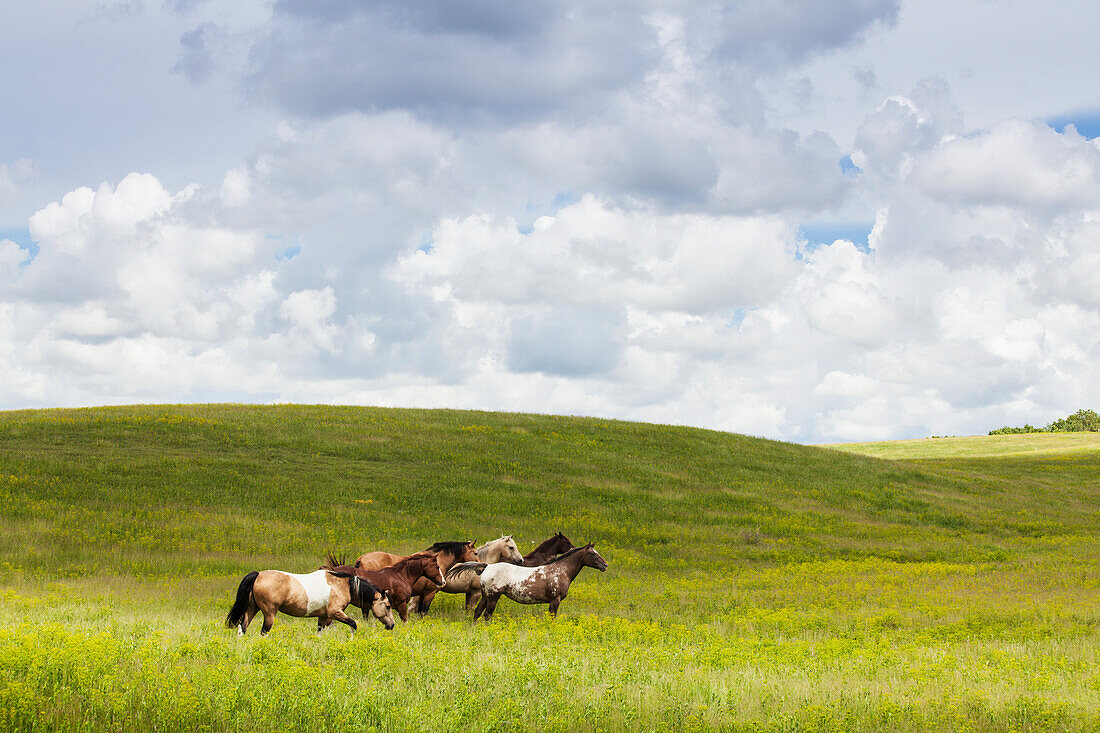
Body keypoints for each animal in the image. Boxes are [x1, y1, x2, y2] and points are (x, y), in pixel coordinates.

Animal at [223, 563, 396, 633]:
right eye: (388, 606)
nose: (392, 625)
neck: (342, 585)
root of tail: (258, 575)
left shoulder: (323, 616)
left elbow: (319, 632)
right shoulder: (335, 613)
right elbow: (353, 624)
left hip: (252, 609)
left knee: (242, 627)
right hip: (269, 613)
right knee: (263, 631)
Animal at [473, 539, 611, 620]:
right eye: (592, 554)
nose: (605, 565)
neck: (560, 571)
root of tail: (487, 567)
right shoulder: (555, 600)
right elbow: (552, 618)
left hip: (485, 596)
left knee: (477, 612)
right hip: (493, 597)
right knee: (487, 615)